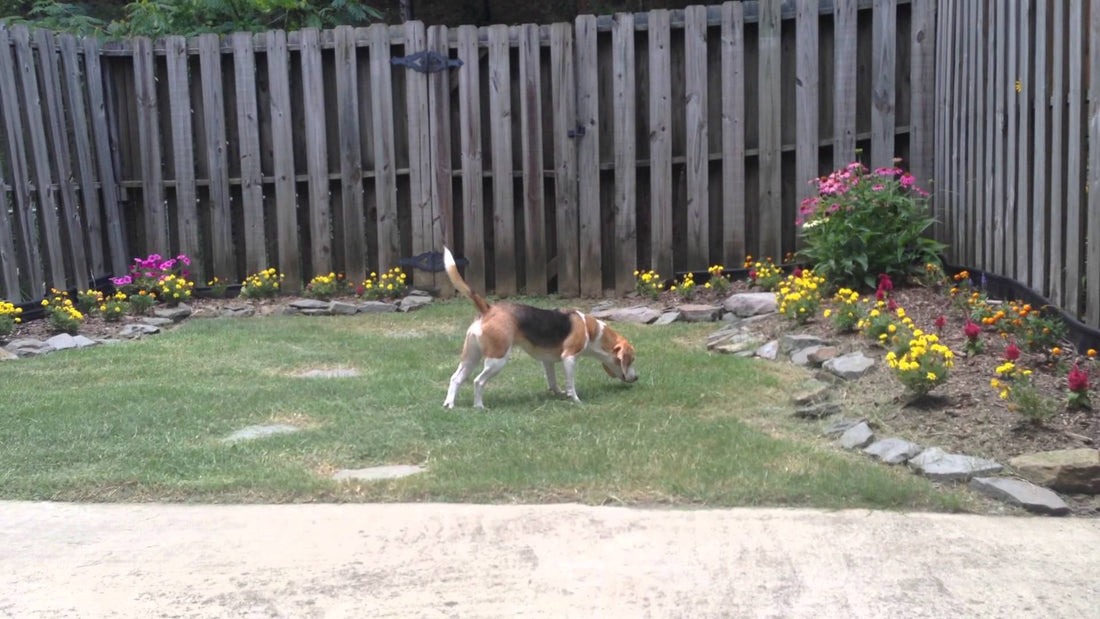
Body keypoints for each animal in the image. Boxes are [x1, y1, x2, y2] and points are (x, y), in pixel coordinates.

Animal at [442, 245, 642, 409]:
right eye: (631, 360)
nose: (636, 378)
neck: (591, 330)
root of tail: (489, 309)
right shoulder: (569, 358)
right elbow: (571, 384)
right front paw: (576, 400)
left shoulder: (548, 361)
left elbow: (553, 381)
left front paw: (559, 394)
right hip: (497, 360)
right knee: (478, 381)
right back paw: (479, 406)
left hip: (470, 357)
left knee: (455, 378)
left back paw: (449, 404)